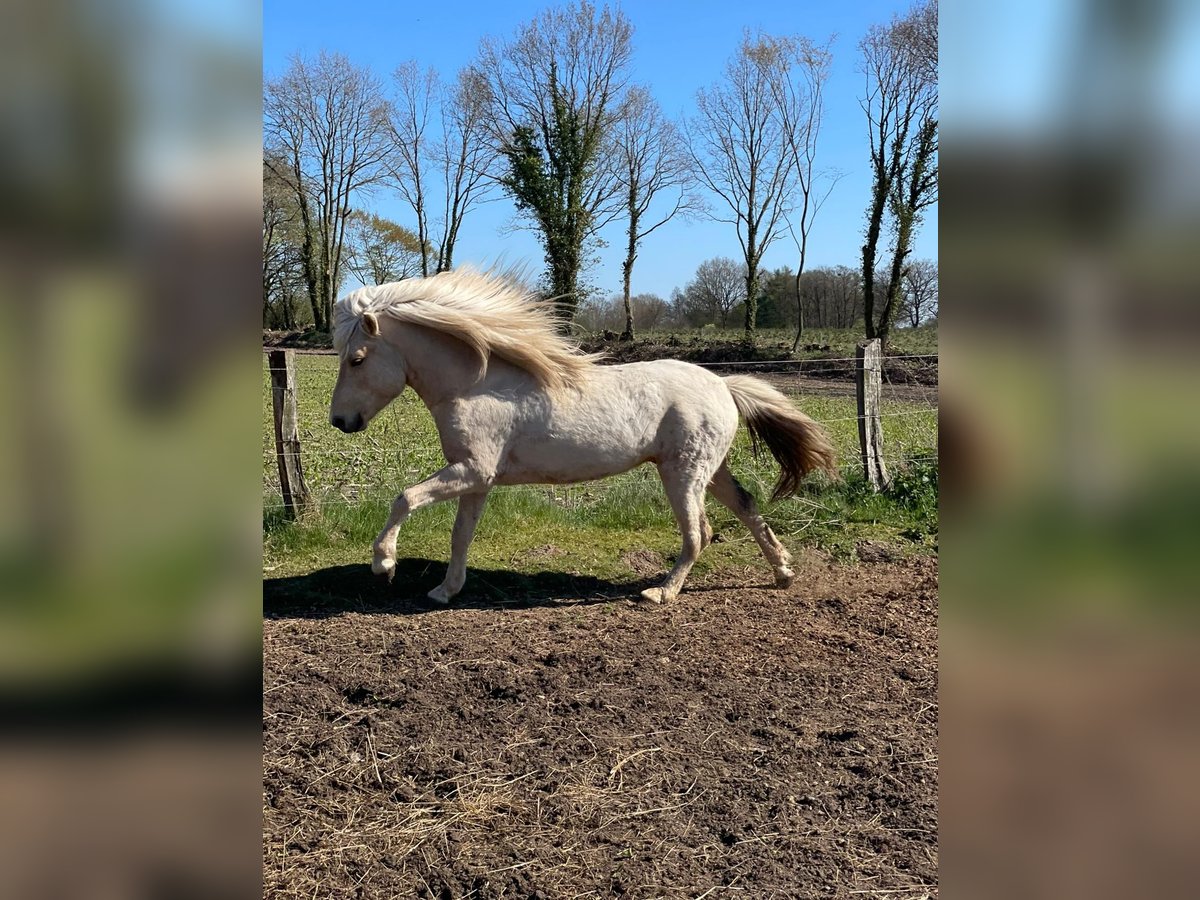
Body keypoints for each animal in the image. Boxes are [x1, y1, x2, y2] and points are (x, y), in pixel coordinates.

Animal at [329, 269, 837, 605]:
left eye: (357, 359)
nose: (339, 421)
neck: (477, 384)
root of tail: (723, 385)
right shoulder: (476, 478)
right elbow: (460, 536)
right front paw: (444, 590)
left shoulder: (470, 470)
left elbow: (405, 498)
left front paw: (384, 565)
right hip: (710, 471)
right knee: (748, 510)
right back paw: (783, 573)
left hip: (683, 474)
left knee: (699, 532)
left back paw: (661, 592)